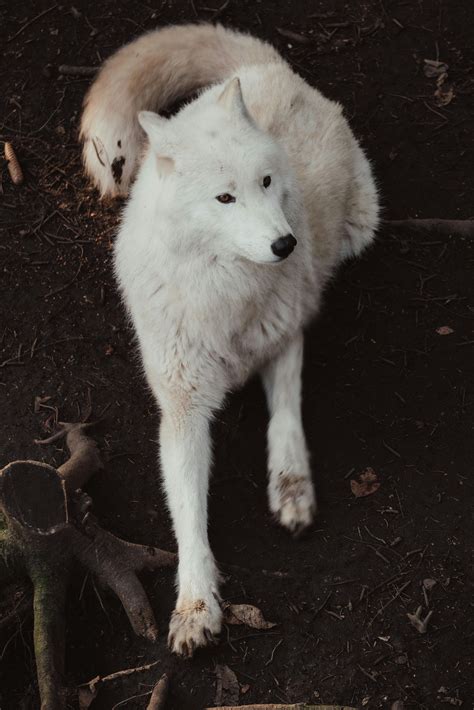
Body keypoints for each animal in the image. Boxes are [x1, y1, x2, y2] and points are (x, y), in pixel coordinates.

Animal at [80, 23, 379, 656]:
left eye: (265, 182)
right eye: (224, 197)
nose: (286, 245)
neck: (226, 294)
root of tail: (267, 68)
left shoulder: (287, 327)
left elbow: (286, 411)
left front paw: (291, 490)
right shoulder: (182, 407)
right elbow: (189, 516)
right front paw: (196, 606)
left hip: (361, 229)